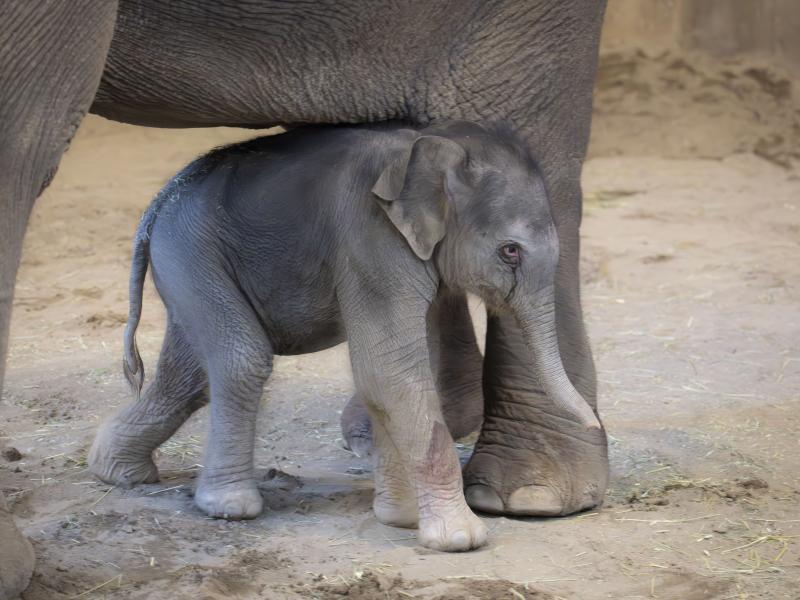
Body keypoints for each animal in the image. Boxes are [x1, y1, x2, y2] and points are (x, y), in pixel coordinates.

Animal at [89, 122, 600, 552]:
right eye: (510, 251)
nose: (594, 423)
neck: (432, 143)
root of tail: (157, 204)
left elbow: (396, 373)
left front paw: (401, 519)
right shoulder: (372, 242)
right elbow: (389, 371)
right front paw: (460, 539)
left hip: (187, 261)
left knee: (189, 375)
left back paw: (119, 473)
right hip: (191, 251)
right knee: (240, 360)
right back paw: (231, 507)